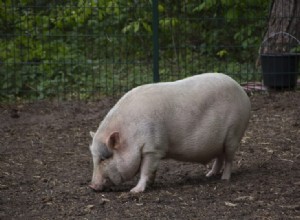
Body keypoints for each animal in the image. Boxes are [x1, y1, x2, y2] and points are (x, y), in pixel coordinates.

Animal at [88, 73, 251, 192]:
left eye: (104, 158)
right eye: (94, 158)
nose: (92, 186)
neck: (130, 136)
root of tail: (242, 91)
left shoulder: (153, 148)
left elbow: (145, 170)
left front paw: (134, 191)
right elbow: (151, 170)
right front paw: (151, 185)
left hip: (234, 134)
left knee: (229, 158)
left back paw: (224, 179)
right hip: (219, 142)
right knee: (220, 157)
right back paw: (209, 175)